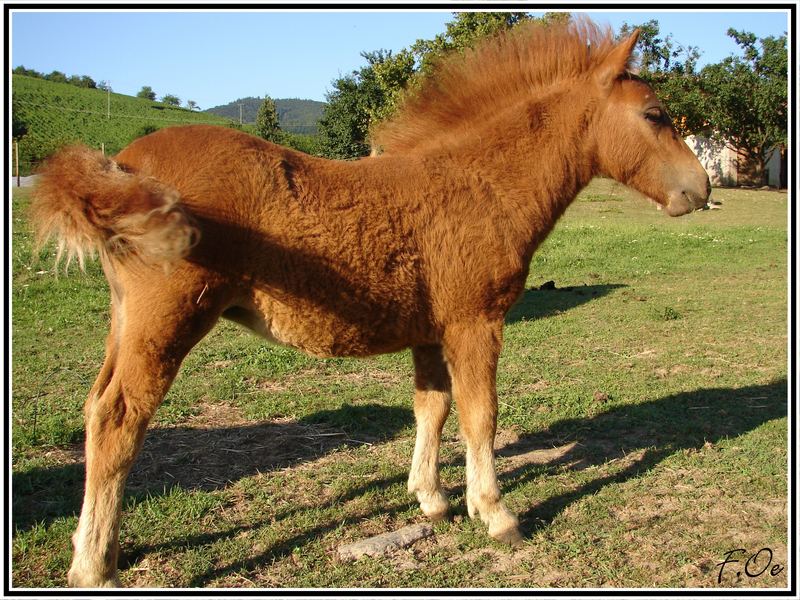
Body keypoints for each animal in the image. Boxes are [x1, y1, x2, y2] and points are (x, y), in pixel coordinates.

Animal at [31, 18, 708, 584]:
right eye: (655, 114)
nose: (700, 190)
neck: (479, 184)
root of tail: (121, 164)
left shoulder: (432, 329)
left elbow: (432, 407)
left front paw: (432, 499)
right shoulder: (476, 321)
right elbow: (480, 415)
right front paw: (494, 514)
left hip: (127, 320)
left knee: (94, 410)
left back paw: (95, 547)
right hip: (168, 320)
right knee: (120, 419)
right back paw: (95, 566)